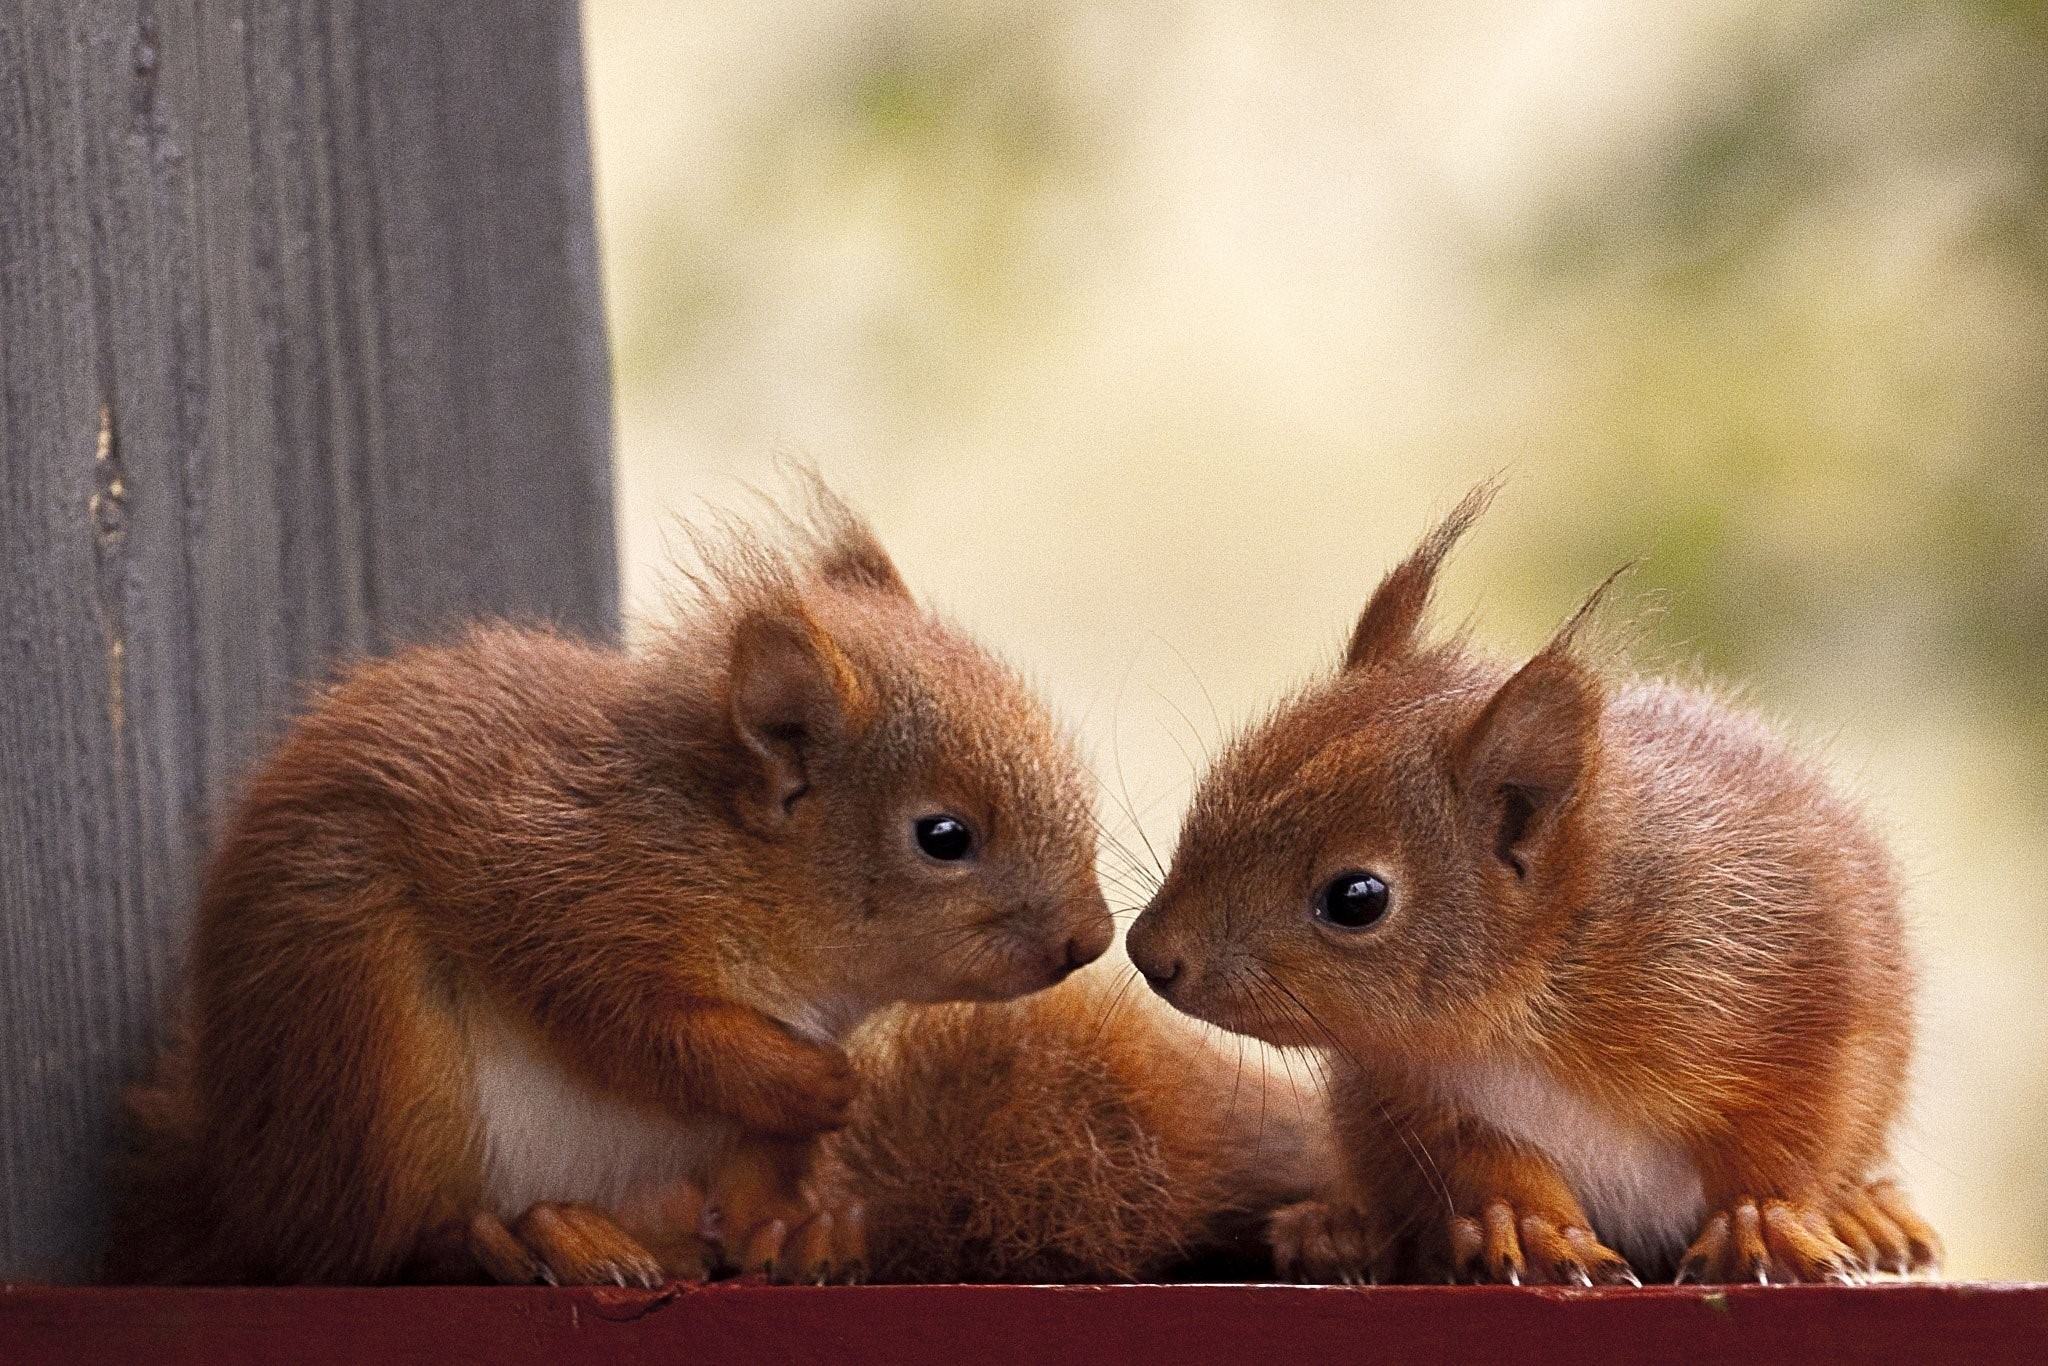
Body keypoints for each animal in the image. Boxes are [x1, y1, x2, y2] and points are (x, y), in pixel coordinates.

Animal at [108, 485, 1122, 1286]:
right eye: (944, 837)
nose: (1091, 939)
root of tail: (242, 1194)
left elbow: (759, 1170)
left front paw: (796, 1227)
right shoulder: (575, 901)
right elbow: (641, 1031)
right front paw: (820, 1082)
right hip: (373, 1049)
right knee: (385, 1246)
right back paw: (530, 1242)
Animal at [1130, 485, 1941, 1286]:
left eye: (1356, 899)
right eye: (1214, 791)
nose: (1149, 953)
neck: (1517, 1021)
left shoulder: (1801, 995)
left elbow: (1794, 1136)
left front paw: (1762, 1221)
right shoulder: (1431, 1103)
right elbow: (1495, 1170)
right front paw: (1526, 1229)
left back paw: (1867, 1212)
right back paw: (1338, 1230)